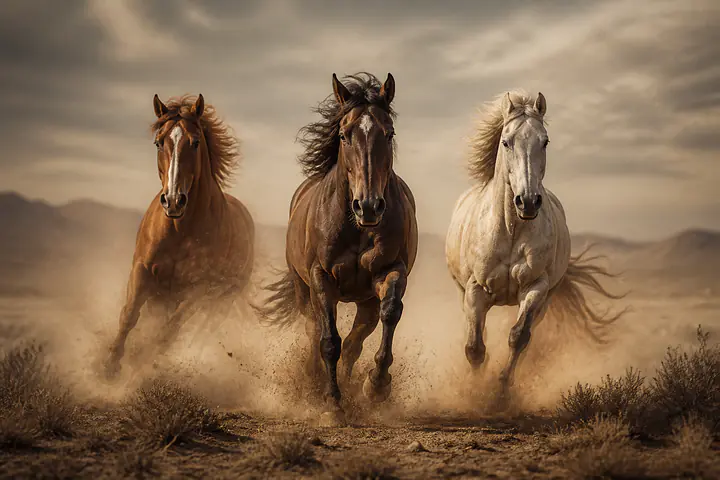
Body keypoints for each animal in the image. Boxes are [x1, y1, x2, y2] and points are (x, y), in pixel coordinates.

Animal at [104, 94, 254, 378]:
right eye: (158, 142)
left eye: (194, 143)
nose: (173, 200)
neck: (179, 230)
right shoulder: (142, 268)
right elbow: (129, 315)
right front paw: (108, 367)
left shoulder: (198, 290)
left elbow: (168, 331)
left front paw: (139, 364)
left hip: (219, 303)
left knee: (195, 332)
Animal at [254, 72, 418, 425]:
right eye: (344, 135)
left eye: (389, 132)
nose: (368, 206)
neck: (356, 228)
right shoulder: (321, 279)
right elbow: (328, 339)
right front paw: (332, 403)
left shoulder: (390, 271)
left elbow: (390, 313)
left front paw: (376, 385)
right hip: (304, 291)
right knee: (313, 328)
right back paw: (315, 381)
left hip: (365, 301)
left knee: (358, 338)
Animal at [445, 90, 624, 403]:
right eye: (506, 142)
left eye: (545, 141)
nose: (528, 202)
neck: (510, 230)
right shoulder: (475, 289)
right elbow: (475, 347)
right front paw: (474, 392)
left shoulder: (536, 288)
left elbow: (518, 337)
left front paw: (502, 391)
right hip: (464, 293)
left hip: (545, 301)